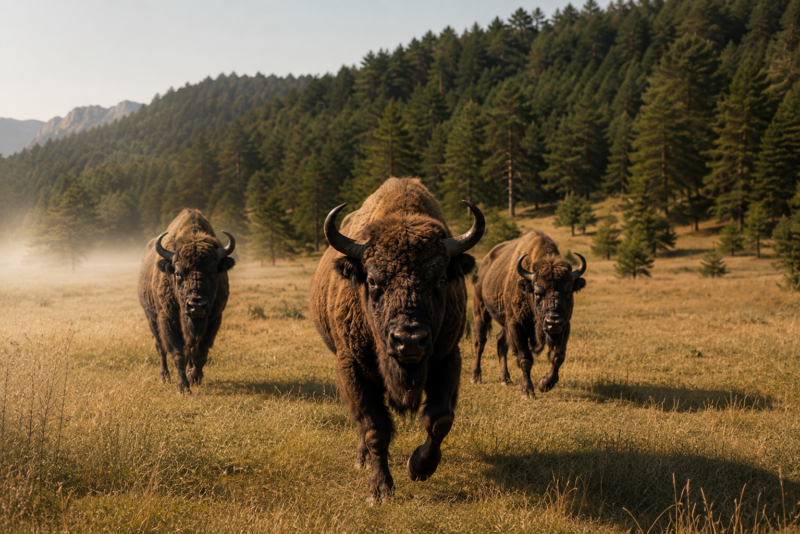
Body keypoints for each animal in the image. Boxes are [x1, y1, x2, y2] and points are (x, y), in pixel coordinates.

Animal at [138, 209, 235, 394]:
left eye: (213, 272)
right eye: (178, 273)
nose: (196, 306)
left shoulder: (214, 319)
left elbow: (199, 354)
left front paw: (194, 377)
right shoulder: (168, 320)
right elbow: (178, 354)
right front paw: (183, 387)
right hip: (151, 318)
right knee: (160, 347)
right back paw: (164, 377)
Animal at [309, 178, 484, 502]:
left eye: (441, 279)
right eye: (373, 280)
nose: (410, 340)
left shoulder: (448, 358)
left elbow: (440, 419)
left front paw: (419, 467)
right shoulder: (353, 367)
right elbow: (375, 428)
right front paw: (379, 490)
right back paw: (363, 459)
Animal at [471, 230, 586, 398]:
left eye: (568, 292)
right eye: (537, 293)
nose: (553, 322)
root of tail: (484, 266)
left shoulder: (565, 326)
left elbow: (558, 356)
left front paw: (545, 384)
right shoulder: (516, 325)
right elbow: (525, 359)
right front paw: (528, 392)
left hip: (505, 323)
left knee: (500, 342)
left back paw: (505, 379)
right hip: (481, 310)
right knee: (480, 342)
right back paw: (475, 377)